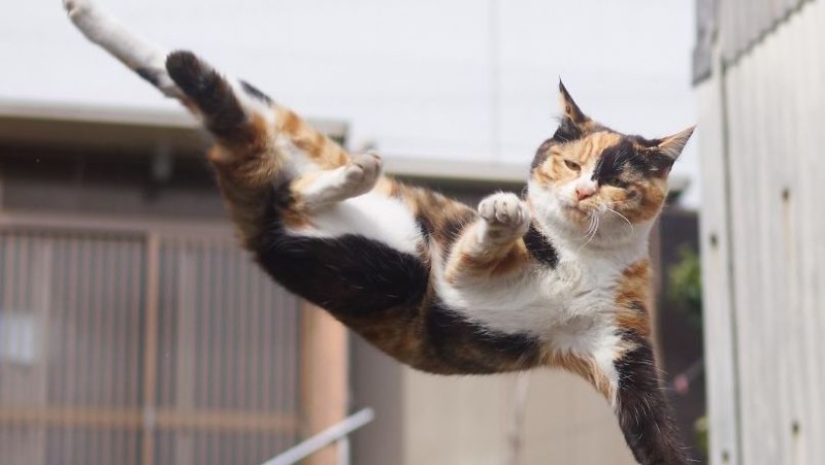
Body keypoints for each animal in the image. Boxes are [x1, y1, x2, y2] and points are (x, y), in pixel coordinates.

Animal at [64, 1, 692, 462]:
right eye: (569, 164)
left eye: (616, 182)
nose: (582, 192)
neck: (580, 254)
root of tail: (257, 218)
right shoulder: (459, 274)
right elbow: (483, 242)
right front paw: (504, 212)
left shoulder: (622, 349)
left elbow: (654, 432)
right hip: (308, 150)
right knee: (207, 88)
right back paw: (92, 18)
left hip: (329, 217)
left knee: (276, 172)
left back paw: (351, 176)